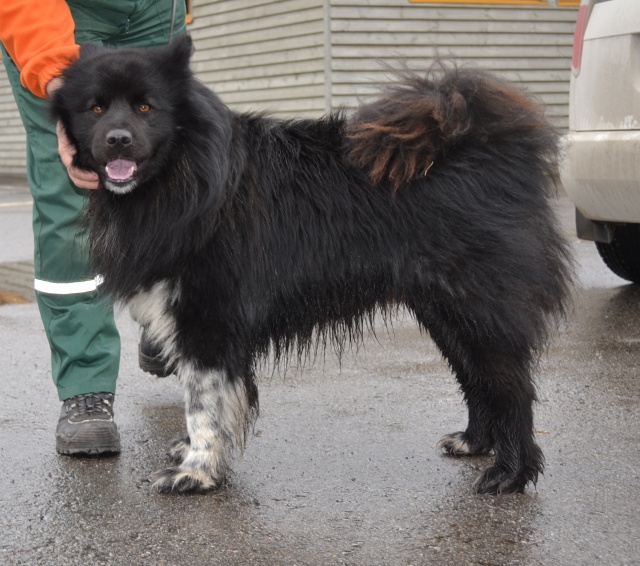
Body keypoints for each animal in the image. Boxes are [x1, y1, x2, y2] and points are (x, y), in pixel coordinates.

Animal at [50, 35, 572, 494]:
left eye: (146, 108)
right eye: (96, 108)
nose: (117, 140)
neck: (186, 173)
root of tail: (486, 140)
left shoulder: (209, 319)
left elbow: (204, 404)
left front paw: (196, 472)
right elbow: (209, 401)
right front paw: (193, 455)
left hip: (478, 305)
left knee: (511, 388)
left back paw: (510, 474)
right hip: (443, 310)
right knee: (476, 377)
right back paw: (475, 442)